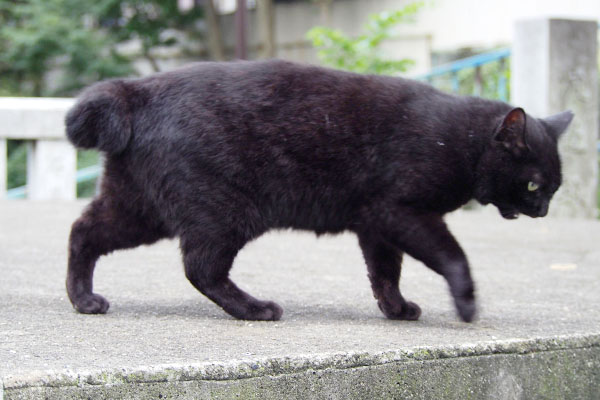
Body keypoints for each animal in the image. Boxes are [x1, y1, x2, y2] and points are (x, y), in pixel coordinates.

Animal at [64, 59, 572, 322]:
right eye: (533, 183)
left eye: (554, 189)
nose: (544, 211)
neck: (460, 139)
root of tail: (136, 90)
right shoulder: (402, 212)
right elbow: (453, 256)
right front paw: (466, 304)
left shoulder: (377, 226)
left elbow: (385, 273)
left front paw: (395, 308)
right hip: (223, 212)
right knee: (201, 268)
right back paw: (254, 309)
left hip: (139, 207)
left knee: (83, 232)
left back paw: (83, 299)